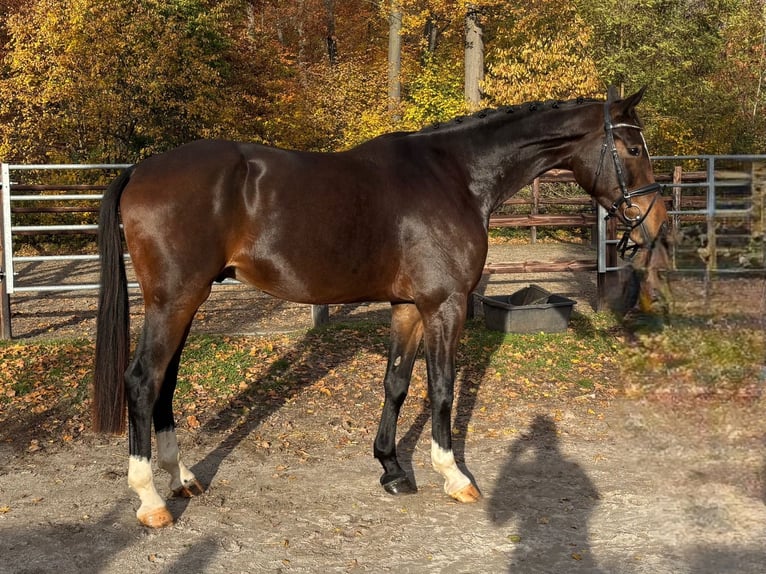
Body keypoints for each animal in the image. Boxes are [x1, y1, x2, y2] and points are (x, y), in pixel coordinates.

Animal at [92, 87, 669, 528]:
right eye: (631, 145)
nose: (657, 219)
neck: (455, 177)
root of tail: (141, 170)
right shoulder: (444, 305)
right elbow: (441, 390)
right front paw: (453, 475)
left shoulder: (408, 306)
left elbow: (397, 383)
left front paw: (392, 469)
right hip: (174, 300)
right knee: (143, 380)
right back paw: (150, 501)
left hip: (185, 301)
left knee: (164, 383)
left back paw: (182, 479)